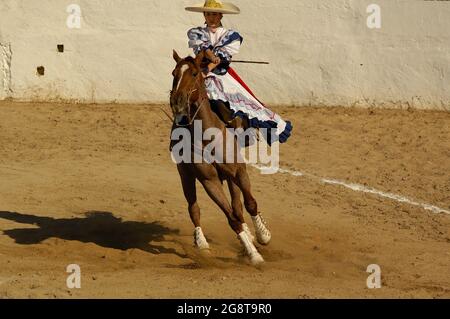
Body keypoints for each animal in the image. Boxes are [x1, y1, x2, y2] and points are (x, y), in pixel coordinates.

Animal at [169, 49, 270, 264]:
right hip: (185, 175)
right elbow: (231, 219)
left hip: (230, 176)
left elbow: (249, 204)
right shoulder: (209, 180)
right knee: (194, 208)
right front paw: (253, 254)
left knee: (238, 206)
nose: (177, 102)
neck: (207, 134)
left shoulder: (239, 170)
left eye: (194, 73)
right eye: (174, 73)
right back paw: (202, 244)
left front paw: (263, 235)